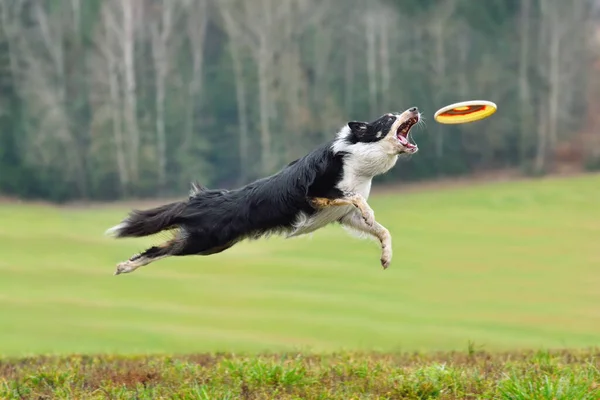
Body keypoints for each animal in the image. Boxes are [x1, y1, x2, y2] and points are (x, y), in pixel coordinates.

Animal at [104, 106, 422, 276]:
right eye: (388, 119)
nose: (415, 109)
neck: (359, 160)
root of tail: (203, 198)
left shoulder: (343, 216)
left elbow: (382, 231)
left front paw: (386, 257)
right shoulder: (314, 195)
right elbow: (357, 200)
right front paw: (370, 213)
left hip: (214, 244)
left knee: (164, 249)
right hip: (203, 241)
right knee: (158, 249)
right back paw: (124, 266)